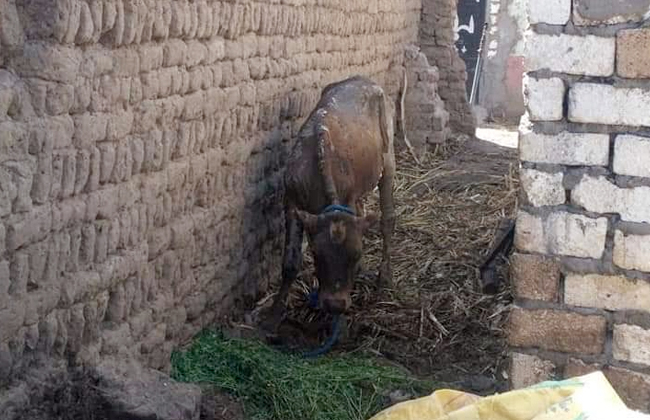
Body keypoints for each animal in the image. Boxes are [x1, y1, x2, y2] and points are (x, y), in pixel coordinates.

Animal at [263, 74, 404, 332]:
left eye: (356, 254)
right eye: (317, 254)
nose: (336, 305)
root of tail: (363, 79)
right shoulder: (292, 202)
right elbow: (290, 262)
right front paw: (273, 315)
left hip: (388, 159)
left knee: (387, 218)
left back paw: (385, 276)